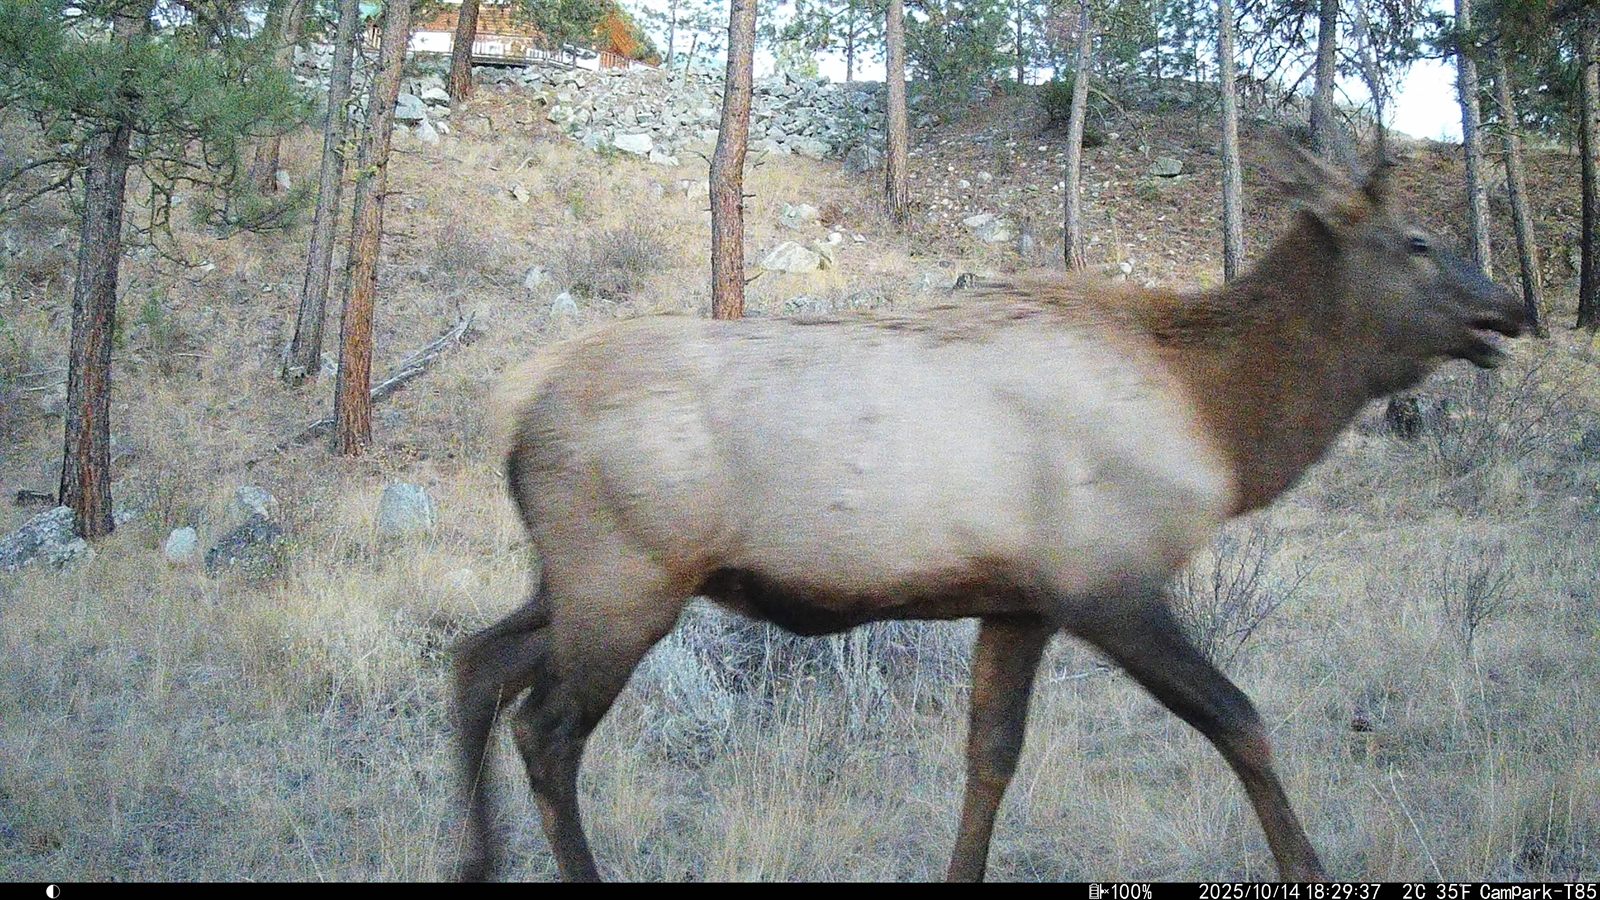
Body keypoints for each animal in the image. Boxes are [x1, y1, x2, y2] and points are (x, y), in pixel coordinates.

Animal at [452, 148, 1526, 882]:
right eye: (1419, 243)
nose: (1515, 309)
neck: (1221, 426)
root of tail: (517, 415)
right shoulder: (1106, 583)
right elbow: (1241, 721)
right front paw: (1308, 866)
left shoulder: (1018, 602)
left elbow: (990, 759)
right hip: (626, 582)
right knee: (546, 728)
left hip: (573, 579)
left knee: (474, 663)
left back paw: (478, 858)